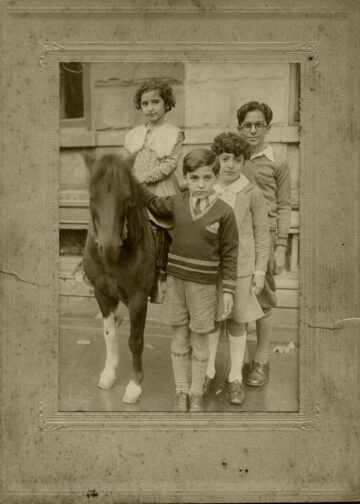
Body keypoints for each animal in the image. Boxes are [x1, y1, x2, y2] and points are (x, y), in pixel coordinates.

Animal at [84, 152, 158, 404]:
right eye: (92, 197)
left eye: (127, 199)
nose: (109, 247)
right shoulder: (103, 294)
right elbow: (110, 334)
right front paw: (109, 373)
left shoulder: (138, 299)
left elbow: (135, 341)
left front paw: (135, 385)